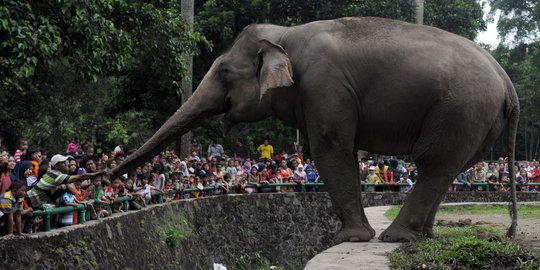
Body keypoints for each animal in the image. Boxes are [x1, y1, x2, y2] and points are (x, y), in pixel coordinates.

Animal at [109, 17, 520, 243]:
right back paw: (423, 235)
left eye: (224, 71)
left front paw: (348, 238)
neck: (284, 35)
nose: (106, 177)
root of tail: (506, 80)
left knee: (433, 162)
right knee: (447, 167)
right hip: (472, 117)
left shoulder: (324, 83)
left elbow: (330, 146)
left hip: (461, 109)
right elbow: (339, 150)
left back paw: (396, 237)